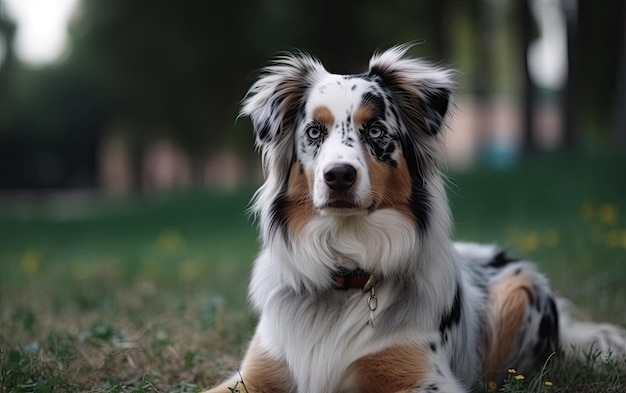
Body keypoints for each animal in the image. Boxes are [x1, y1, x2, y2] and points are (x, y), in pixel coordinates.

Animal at [205, 44, 624, 390]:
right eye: (314, 131)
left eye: (376, 130)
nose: (338, 175)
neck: (346, 268)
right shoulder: (254, 374)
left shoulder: (423, 376)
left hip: (519, 290)